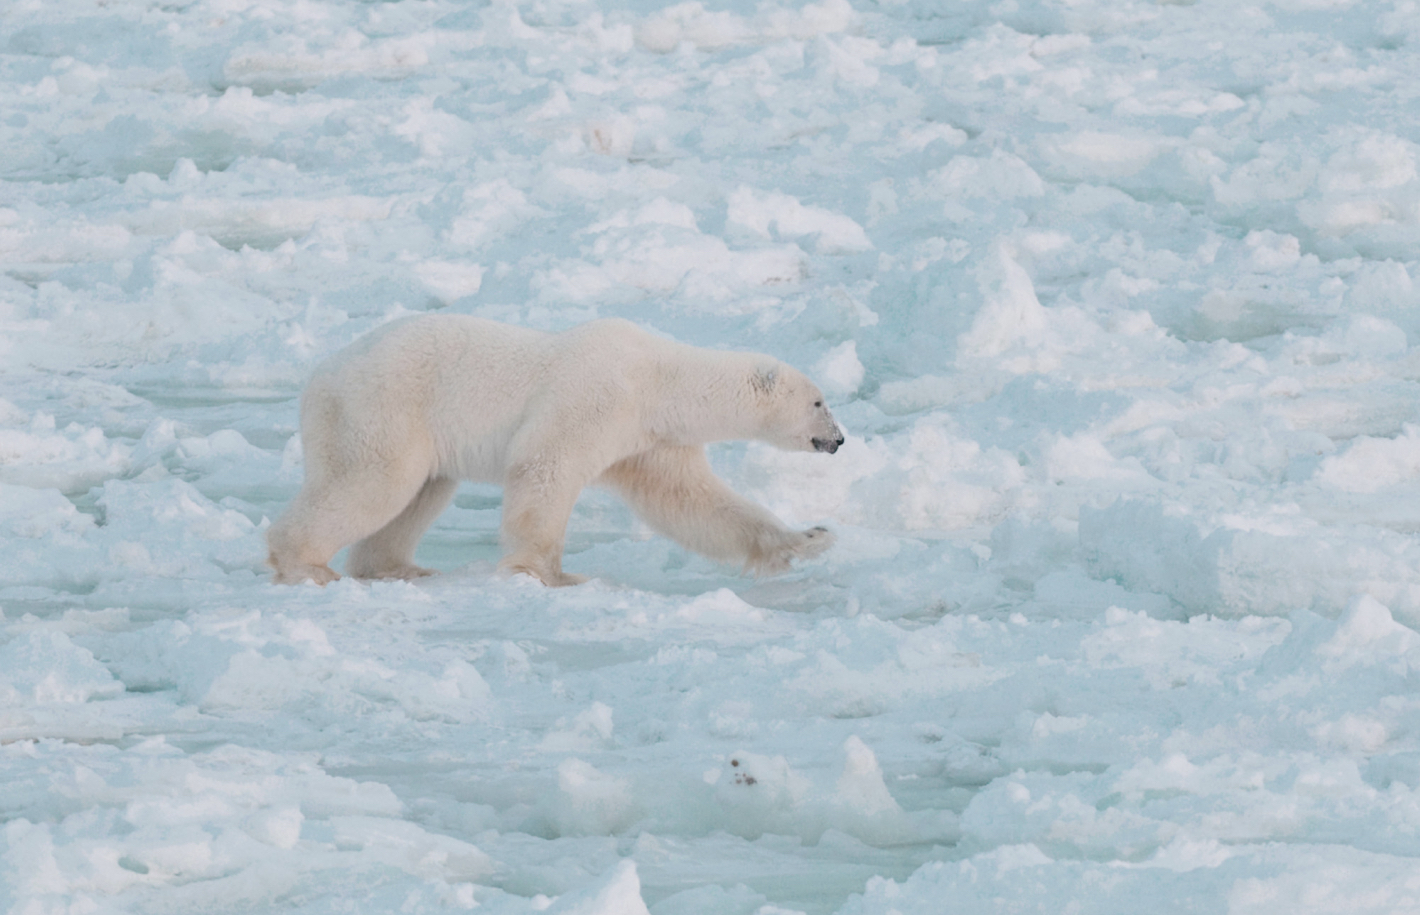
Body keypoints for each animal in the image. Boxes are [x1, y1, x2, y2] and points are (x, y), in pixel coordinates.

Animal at [266, 314, 845, 587]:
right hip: (382, 409)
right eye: (819, 400)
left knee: (420, 493)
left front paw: (810, 539)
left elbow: (692, 502)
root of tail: (318, 376)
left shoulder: (648, 438)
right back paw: (305, 564)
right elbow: (546, 465)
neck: (658, 377)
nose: (839, 439)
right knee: (373, 482)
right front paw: (550, 574)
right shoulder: (597, 395)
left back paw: (399, 567)